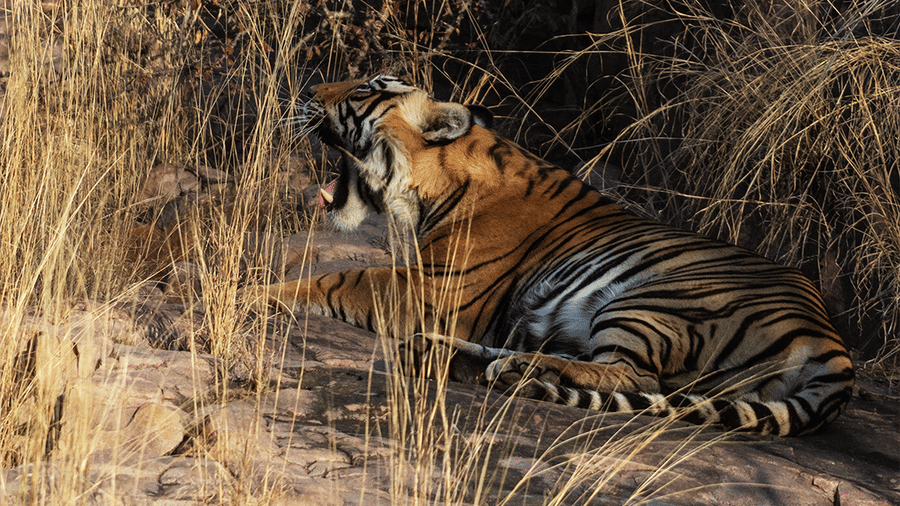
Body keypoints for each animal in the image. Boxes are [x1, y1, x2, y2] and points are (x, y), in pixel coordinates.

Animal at [244, 75, 854, 436]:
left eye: (362, 90)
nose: (306, 88)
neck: (431, 181)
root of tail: (833, 344)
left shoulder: (432, 286)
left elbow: (337, 277)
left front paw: (251, 294)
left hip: (658, 300)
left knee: (634, 376)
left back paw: (516, 370)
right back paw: (453, 357)